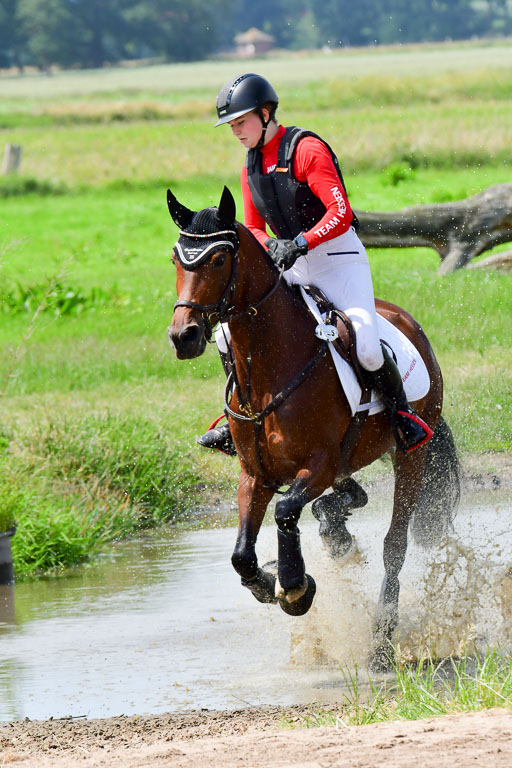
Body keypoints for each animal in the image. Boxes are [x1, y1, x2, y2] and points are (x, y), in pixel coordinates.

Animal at [167, 185, 460, 670]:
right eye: (177, 259)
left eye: (218, 259)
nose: (183, 336)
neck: (271, 369)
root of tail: (407, 323)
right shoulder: (256, 474)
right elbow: (241, 555)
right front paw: (268, 582)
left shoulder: (317, 464)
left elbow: (286, 511)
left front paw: (295, 588)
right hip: (349, 458)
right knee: (348, 495)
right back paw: (334, 526)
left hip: (410, 456)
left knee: (394, 544)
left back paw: (381, 641)